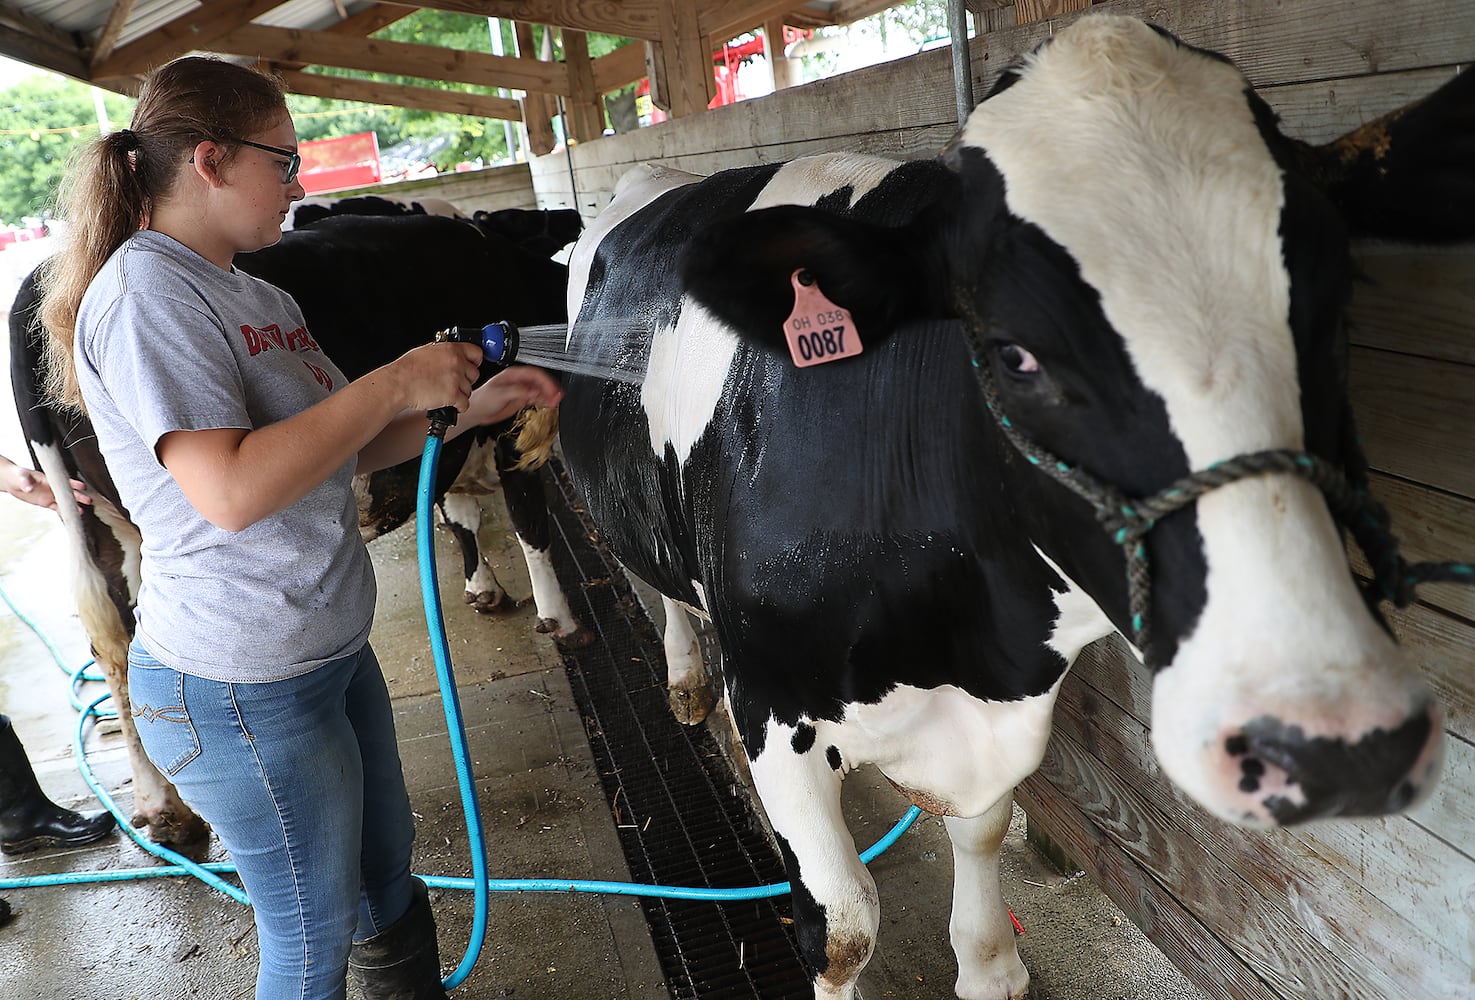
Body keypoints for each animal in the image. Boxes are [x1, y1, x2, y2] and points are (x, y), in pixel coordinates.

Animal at [536, 15, 1469, 1000]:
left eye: (1336, 305)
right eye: (1012, 353)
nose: (1335, 740)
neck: (966, 641)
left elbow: (981, 829)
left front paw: (989, 965)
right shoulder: (773, 705)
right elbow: (841, 925)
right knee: (655, 576)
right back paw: (683, 681)